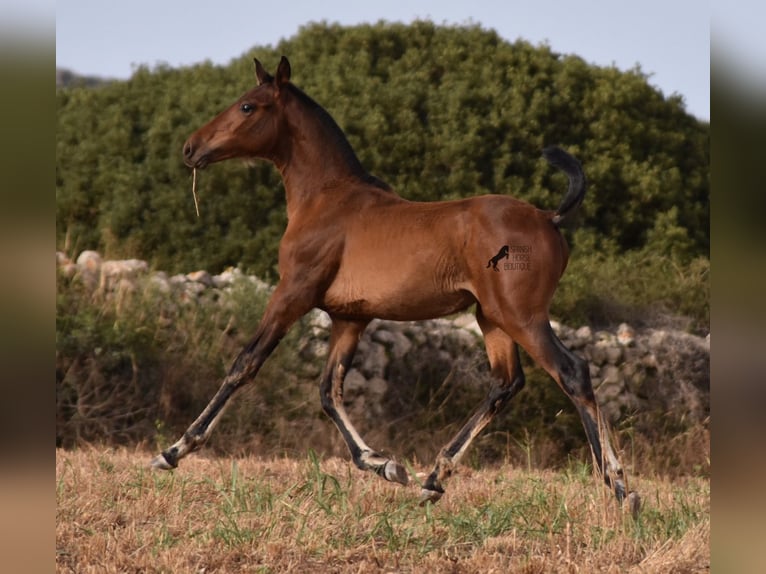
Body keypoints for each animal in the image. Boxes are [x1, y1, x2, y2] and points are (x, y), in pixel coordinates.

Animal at [153, 55, 640, 512]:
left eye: (247, 106)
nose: (190, 148)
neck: (328, 200)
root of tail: (549, 217)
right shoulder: (349, 318)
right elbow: (329, 391)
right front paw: (384, 464)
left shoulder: (292, 294)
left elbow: (245, 364)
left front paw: (175, 450)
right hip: (492, 318)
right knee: (505, 384)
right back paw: (434, 479)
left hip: (522, 317)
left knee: (572, 373)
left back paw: (620, 487)